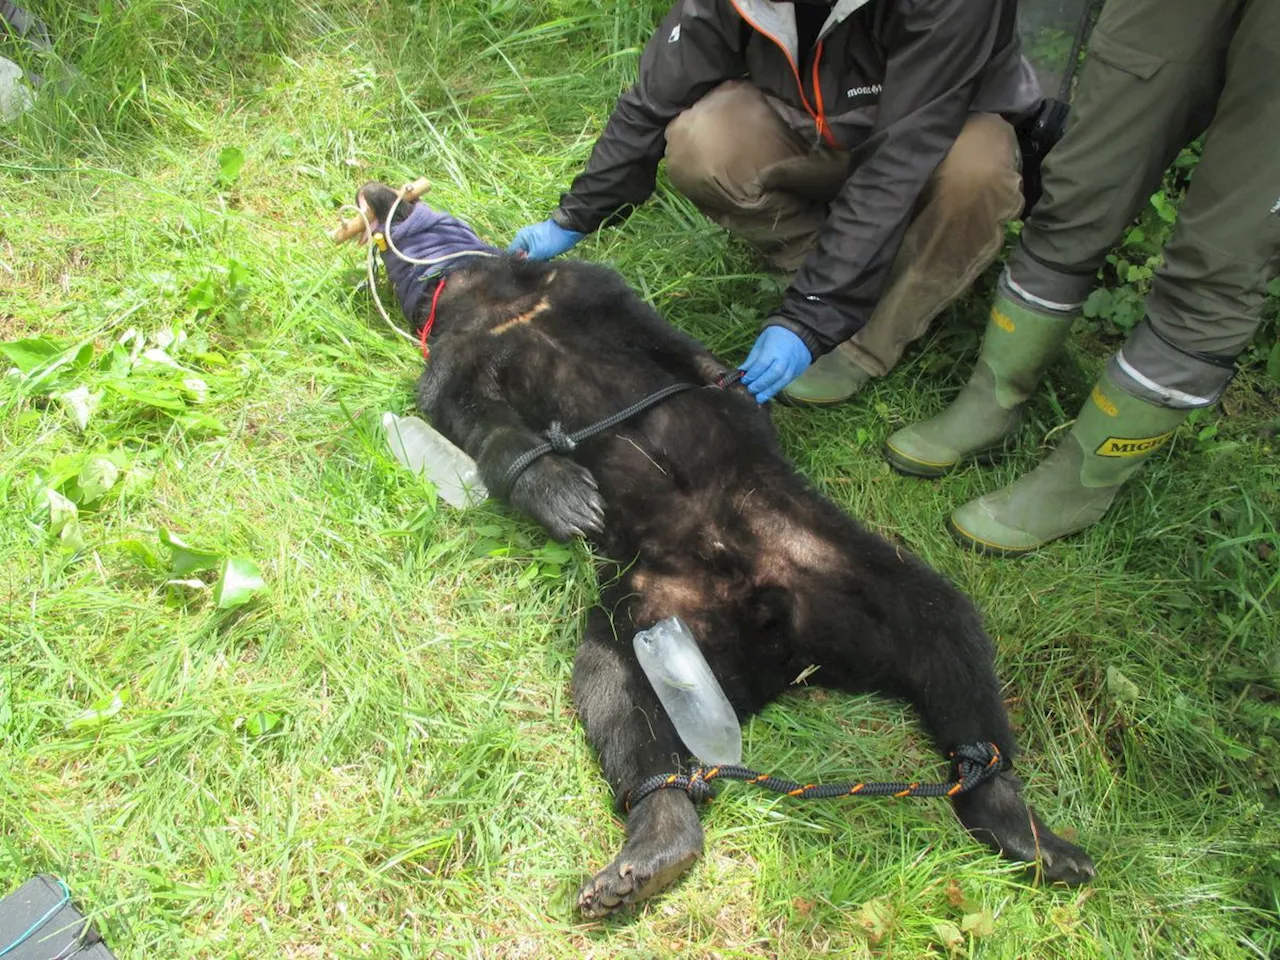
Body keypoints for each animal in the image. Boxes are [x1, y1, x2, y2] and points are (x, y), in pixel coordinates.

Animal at [355, 184, 1095, 921]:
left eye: (401, 211)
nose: (372, 192)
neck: (491, 298)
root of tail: (784, 655)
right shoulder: (456, 357)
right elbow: (472, 417)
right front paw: (567, 494)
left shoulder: (583, 288)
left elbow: (669, 341)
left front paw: (748, 379)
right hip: (646, 610)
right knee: (617, 694)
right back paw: (651, 846)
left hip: (829, 562)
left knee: (944, 631)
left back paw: (1020, 821)